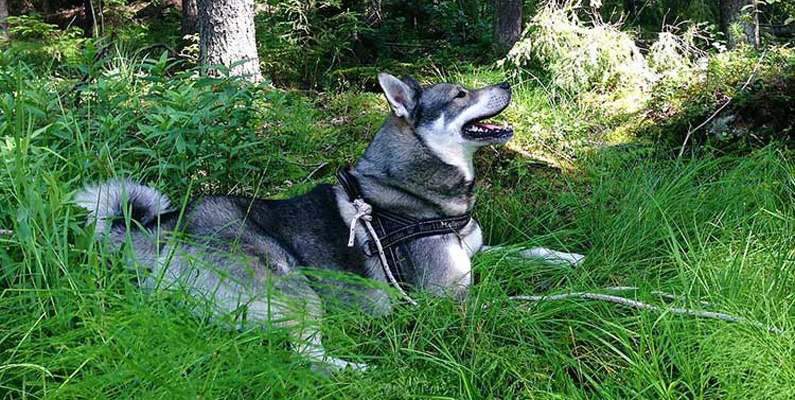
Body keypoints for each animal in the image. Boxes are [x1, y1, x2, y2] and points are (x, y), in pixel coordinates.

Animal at [76, 73, 584, 374]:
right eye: (461, 94)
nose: (509, 82)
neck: (418, 196)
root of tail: (155, 233)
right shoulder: (447, 301)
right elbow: (531, 301)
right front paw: (579, 298)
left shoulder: (474, 254)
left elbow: (524, 250)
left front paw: (571, 257)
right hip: (295, 288)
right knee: (306, 356)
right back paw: (361, 371)